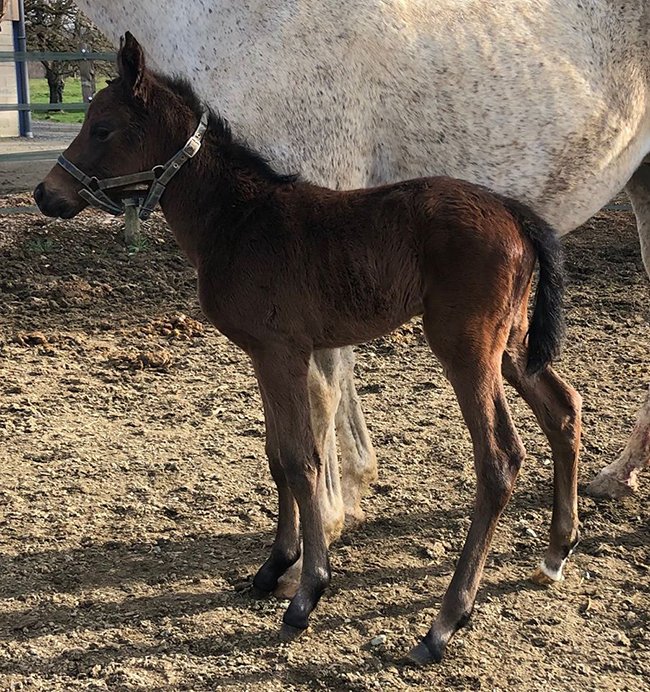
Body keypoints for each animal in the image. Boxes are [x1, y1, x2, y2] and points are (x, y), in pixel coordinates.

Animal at [33, 33, 582, 664]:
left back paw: (446, 621)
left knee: (499, 459)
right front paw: (275, 566)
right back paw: (556, 551)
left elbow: (302, 459)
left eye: (102, 128)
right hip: (511, 345)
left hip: (466, 347)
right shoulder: (265, 355)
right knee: (563, 408)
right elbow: (278, 457)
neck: (239, 219)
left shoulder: (282, 352)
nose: (45, 193)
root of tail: (515, 212)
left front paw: (309, 591)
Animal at [66, 1, 648, 529]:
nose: (52, 193)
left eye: (102, 129)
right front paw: (347, 496)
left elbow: (316, 405)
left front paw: (319, 531)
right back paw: (593, 503)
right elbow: (321, 397)